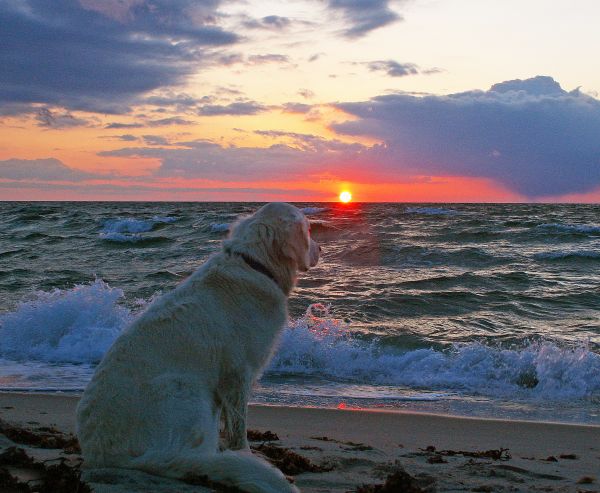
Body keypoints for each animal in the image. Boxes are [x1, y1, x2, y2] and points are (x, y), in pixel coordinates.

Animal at [77, 202, 322, 490]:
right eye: (308, 230)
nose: (321, 250)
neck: (255, 264)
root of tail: (105, 456)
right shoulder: (238, 373)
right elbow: (239, 427)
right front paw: (245, 454)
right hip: (183, 388)